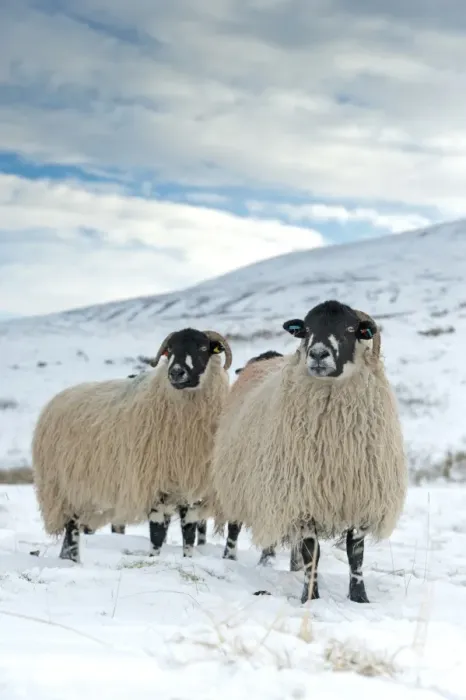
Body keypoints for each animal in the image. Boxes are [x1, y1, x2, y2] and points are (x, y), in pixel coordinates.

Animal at [32, 327, 233, 564]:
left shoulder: (191, 487)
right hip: (64, 488)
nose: (176, 373)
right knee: (71, 528)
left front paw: (187, 560)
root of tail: (56, 400)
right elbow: (157, 534)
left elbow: (189, 533)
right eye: (169, 350)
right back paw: (74, 561)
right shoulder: (153, 483)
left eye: (202, 347)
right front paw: (153, 560)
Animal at [210, 300, 407, 604]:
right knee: (234, 528)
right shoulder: (301, 496)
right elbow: (312, 552)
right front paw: (310, 597)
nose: (317, 354)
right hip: (236, 484)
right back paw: (230, 560)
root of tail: (262, 361)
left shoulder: (360, 495)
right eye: (306, 330)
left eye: (350, 329)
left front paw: (359, 597)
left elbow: (355, 553)